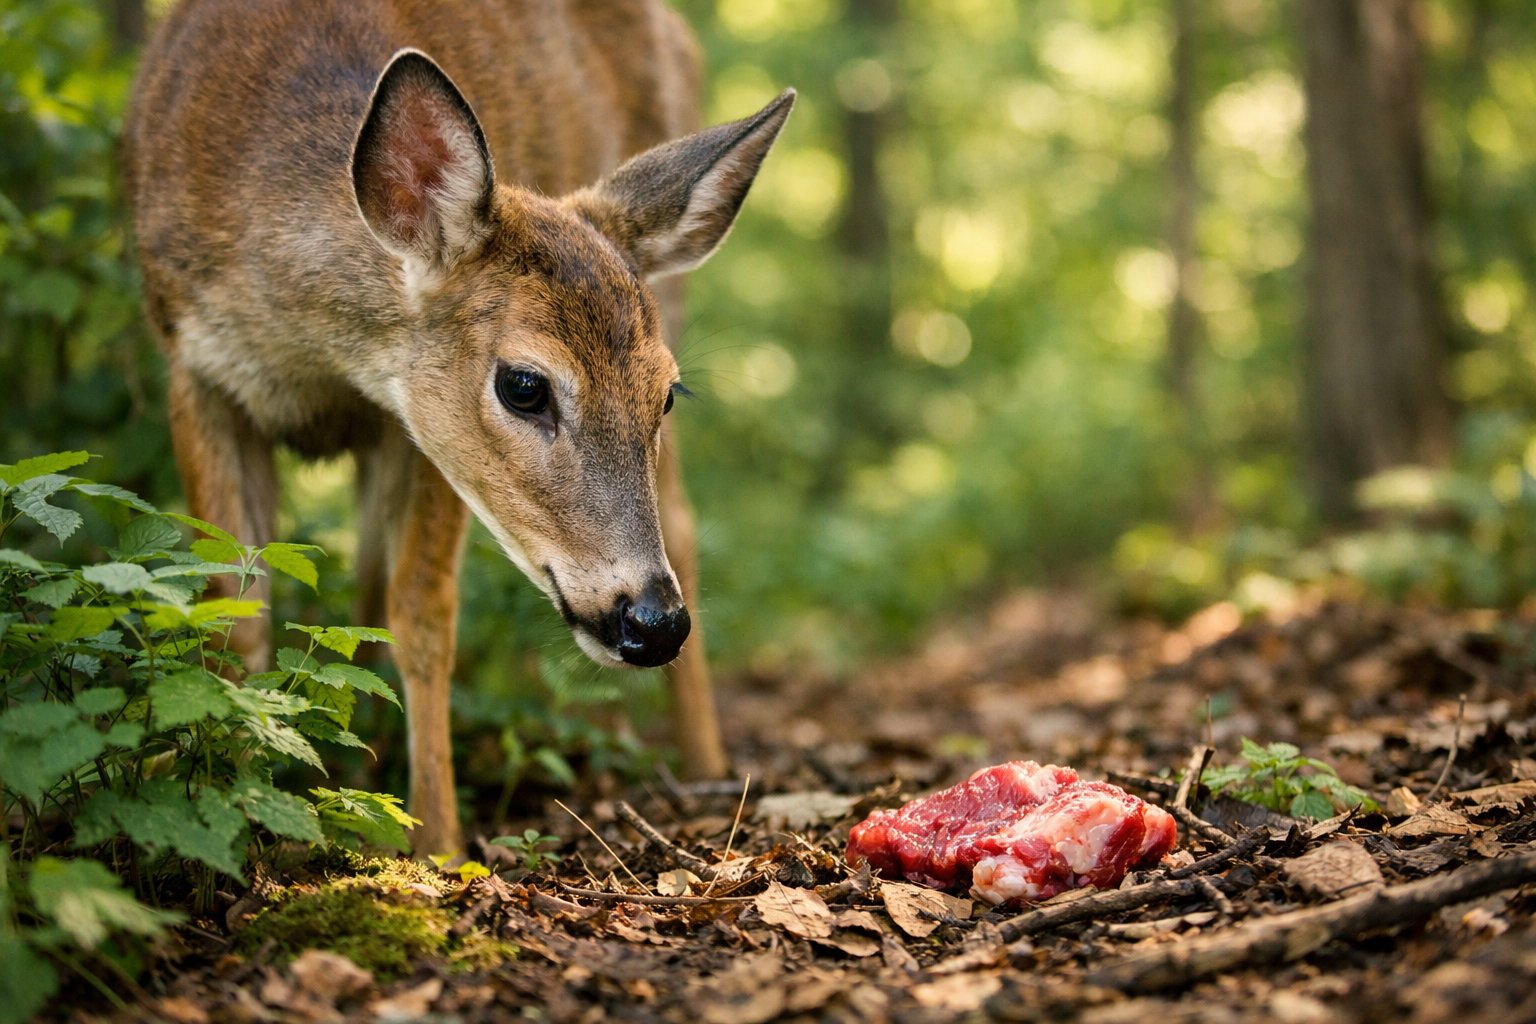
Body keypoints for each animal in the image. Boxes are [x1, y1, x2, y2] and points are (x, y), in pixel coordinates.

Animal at [122, 0, 793, 856]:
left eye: (668, 395)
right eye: (523, 385)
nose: (652, 622)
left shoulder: (419, 428)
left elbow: (422, 616)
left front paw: (434, 842)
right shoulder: (195, 369)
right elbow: (235, 611)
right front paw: (240, 803)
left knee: (679, 520)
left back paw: (705, 765)